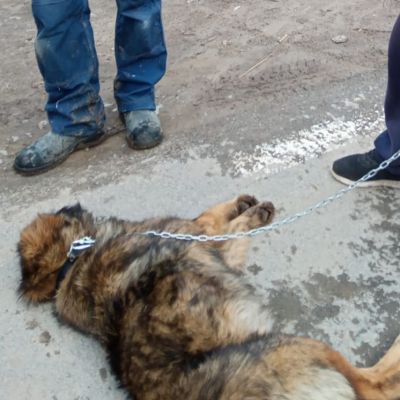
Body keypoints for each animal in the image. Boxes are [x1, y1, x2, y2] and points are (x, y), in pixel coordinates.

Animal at [17, 196, 400, 399]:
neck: (71, 263)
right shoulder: (205, 239)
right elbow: (220, 223)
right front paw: (251, 210)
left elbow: (211, 215)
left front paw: (241, 203)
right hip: (294, 346)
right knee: (375, 384)